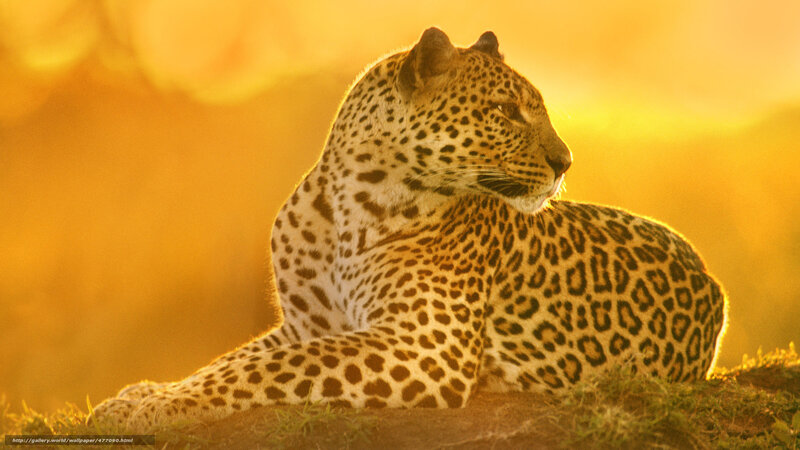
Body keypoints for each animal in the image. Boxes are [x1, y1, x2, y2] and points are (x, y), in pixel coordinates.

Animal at [90, 28, 727, 432]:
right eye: (506, 111)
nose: (566, 161)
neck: (343, 206)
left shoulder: (424, 345)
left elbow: (264, 369)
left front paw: (148, 409)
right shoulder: (306, 325)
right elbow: (230, 361)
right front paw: (143, 394)